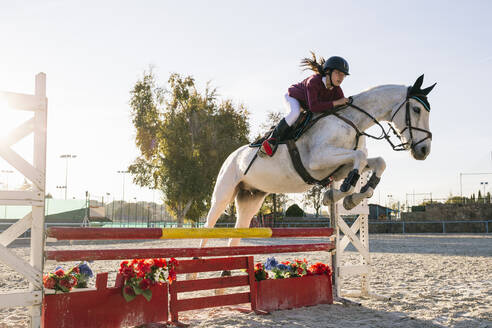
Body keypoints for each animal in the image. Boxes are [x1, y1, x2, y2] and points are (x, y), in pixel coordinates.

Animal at [199, 75, 434, 249]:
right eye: (416, 109)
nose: (424, 151)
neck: (353, 122)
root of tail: (230, 156)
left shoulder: (339, 166)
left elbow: (376, 162)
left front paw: (351, 197)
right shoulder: (317, 160)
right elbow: (359, 160)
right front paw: (342, 194)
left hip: (251, 198)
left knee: (236, 235)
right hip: (223, 194)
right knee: (208, 228)